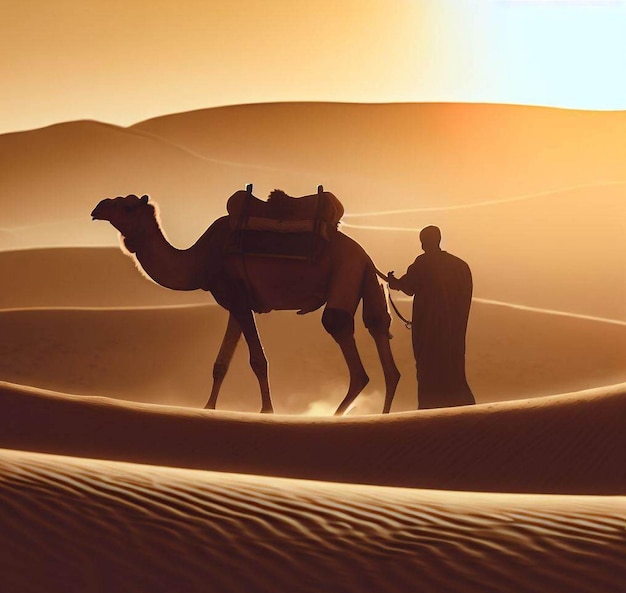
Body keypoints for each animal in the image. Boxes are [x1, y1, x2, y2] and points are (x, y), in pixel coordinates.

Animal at [90, 187, 398, 414]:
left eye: (128, 206)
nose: (98, 207)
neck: (200, 260)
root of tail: (367, 257)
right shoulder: (236, 303)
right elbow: (220, 364)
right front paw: (208, 409)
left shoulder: (238, 297)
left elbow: (257, 360)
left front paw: (267, 412)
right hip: (362, 279)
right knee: (379, 329)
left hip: (345, 273)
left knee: (345, 340)